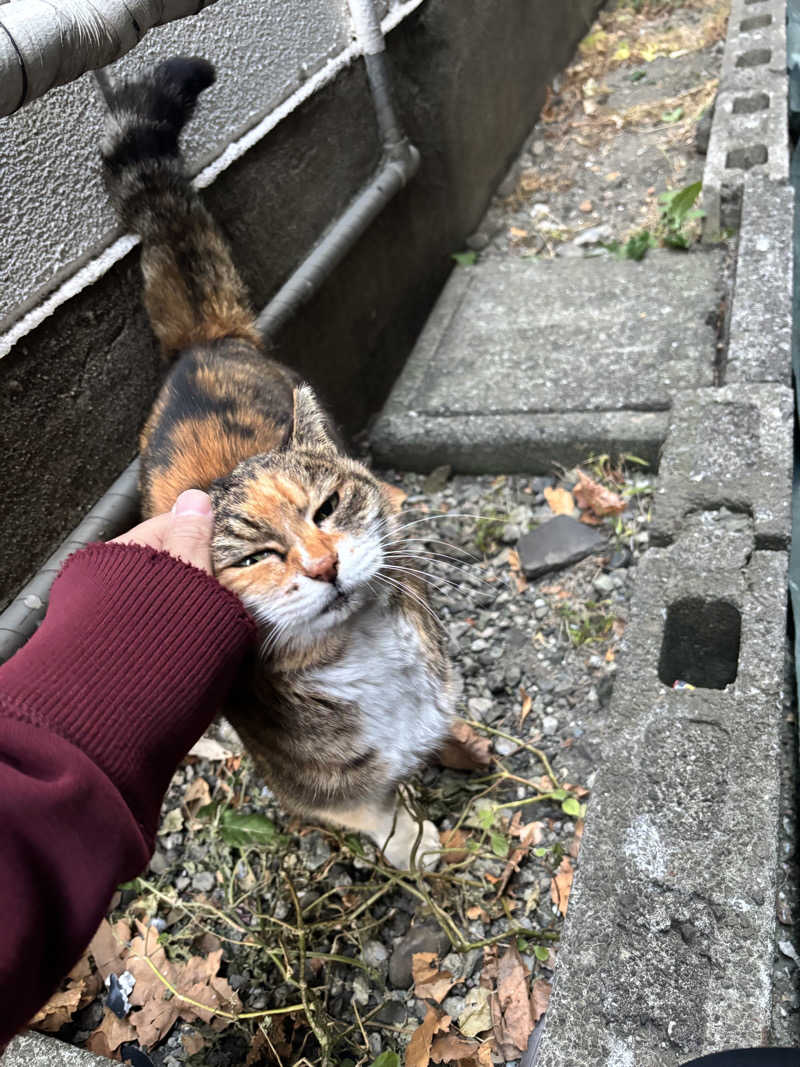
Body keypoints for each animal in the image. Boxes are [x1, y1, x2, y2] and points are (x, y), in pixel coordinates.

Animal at [98, 54, 452, 866]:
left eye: (327, 508)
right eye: (257, 555)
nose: (323, 566)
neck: (368, 654)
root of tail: (201, 344)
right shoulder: (326, 785)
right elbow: (380, 817)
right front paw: (417, 846)